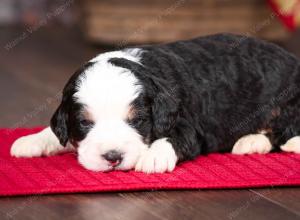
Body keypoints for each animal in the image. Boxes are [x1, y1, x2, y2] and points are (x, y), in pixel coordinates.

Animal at [10, 33, 300, 174]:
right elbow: (56, 130)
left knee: (287, 128)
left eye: (137, 120)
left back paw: (267, 142)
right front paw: (31, 140)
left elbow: (172, 137)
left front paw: (152, 156)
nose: (113, 158)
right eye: (84, 123)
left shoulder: (189, 124)